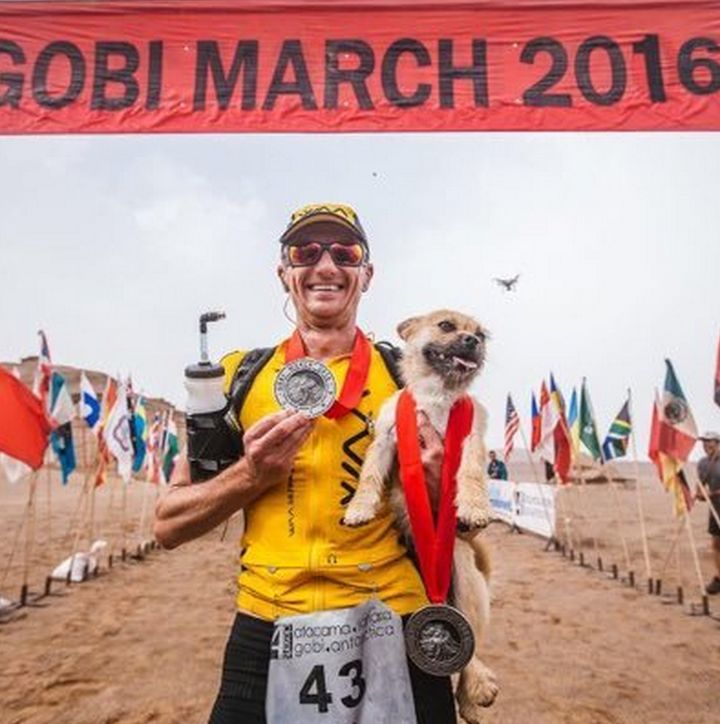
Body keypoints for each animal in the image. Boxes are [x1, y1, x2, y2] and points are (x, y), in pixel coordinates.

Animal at [344, 308, 500, 720]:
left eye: (481, 335)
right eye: (446, 326)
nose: (472, 342)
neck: (438, 395)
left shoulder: (471, 440)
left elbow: (471, 472)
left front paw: (475, 506)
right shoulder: (386, 440)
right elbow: (368, 476)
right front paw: (359, 508)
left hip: (465, 577)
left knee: (471, 651)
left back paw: (475, 693)